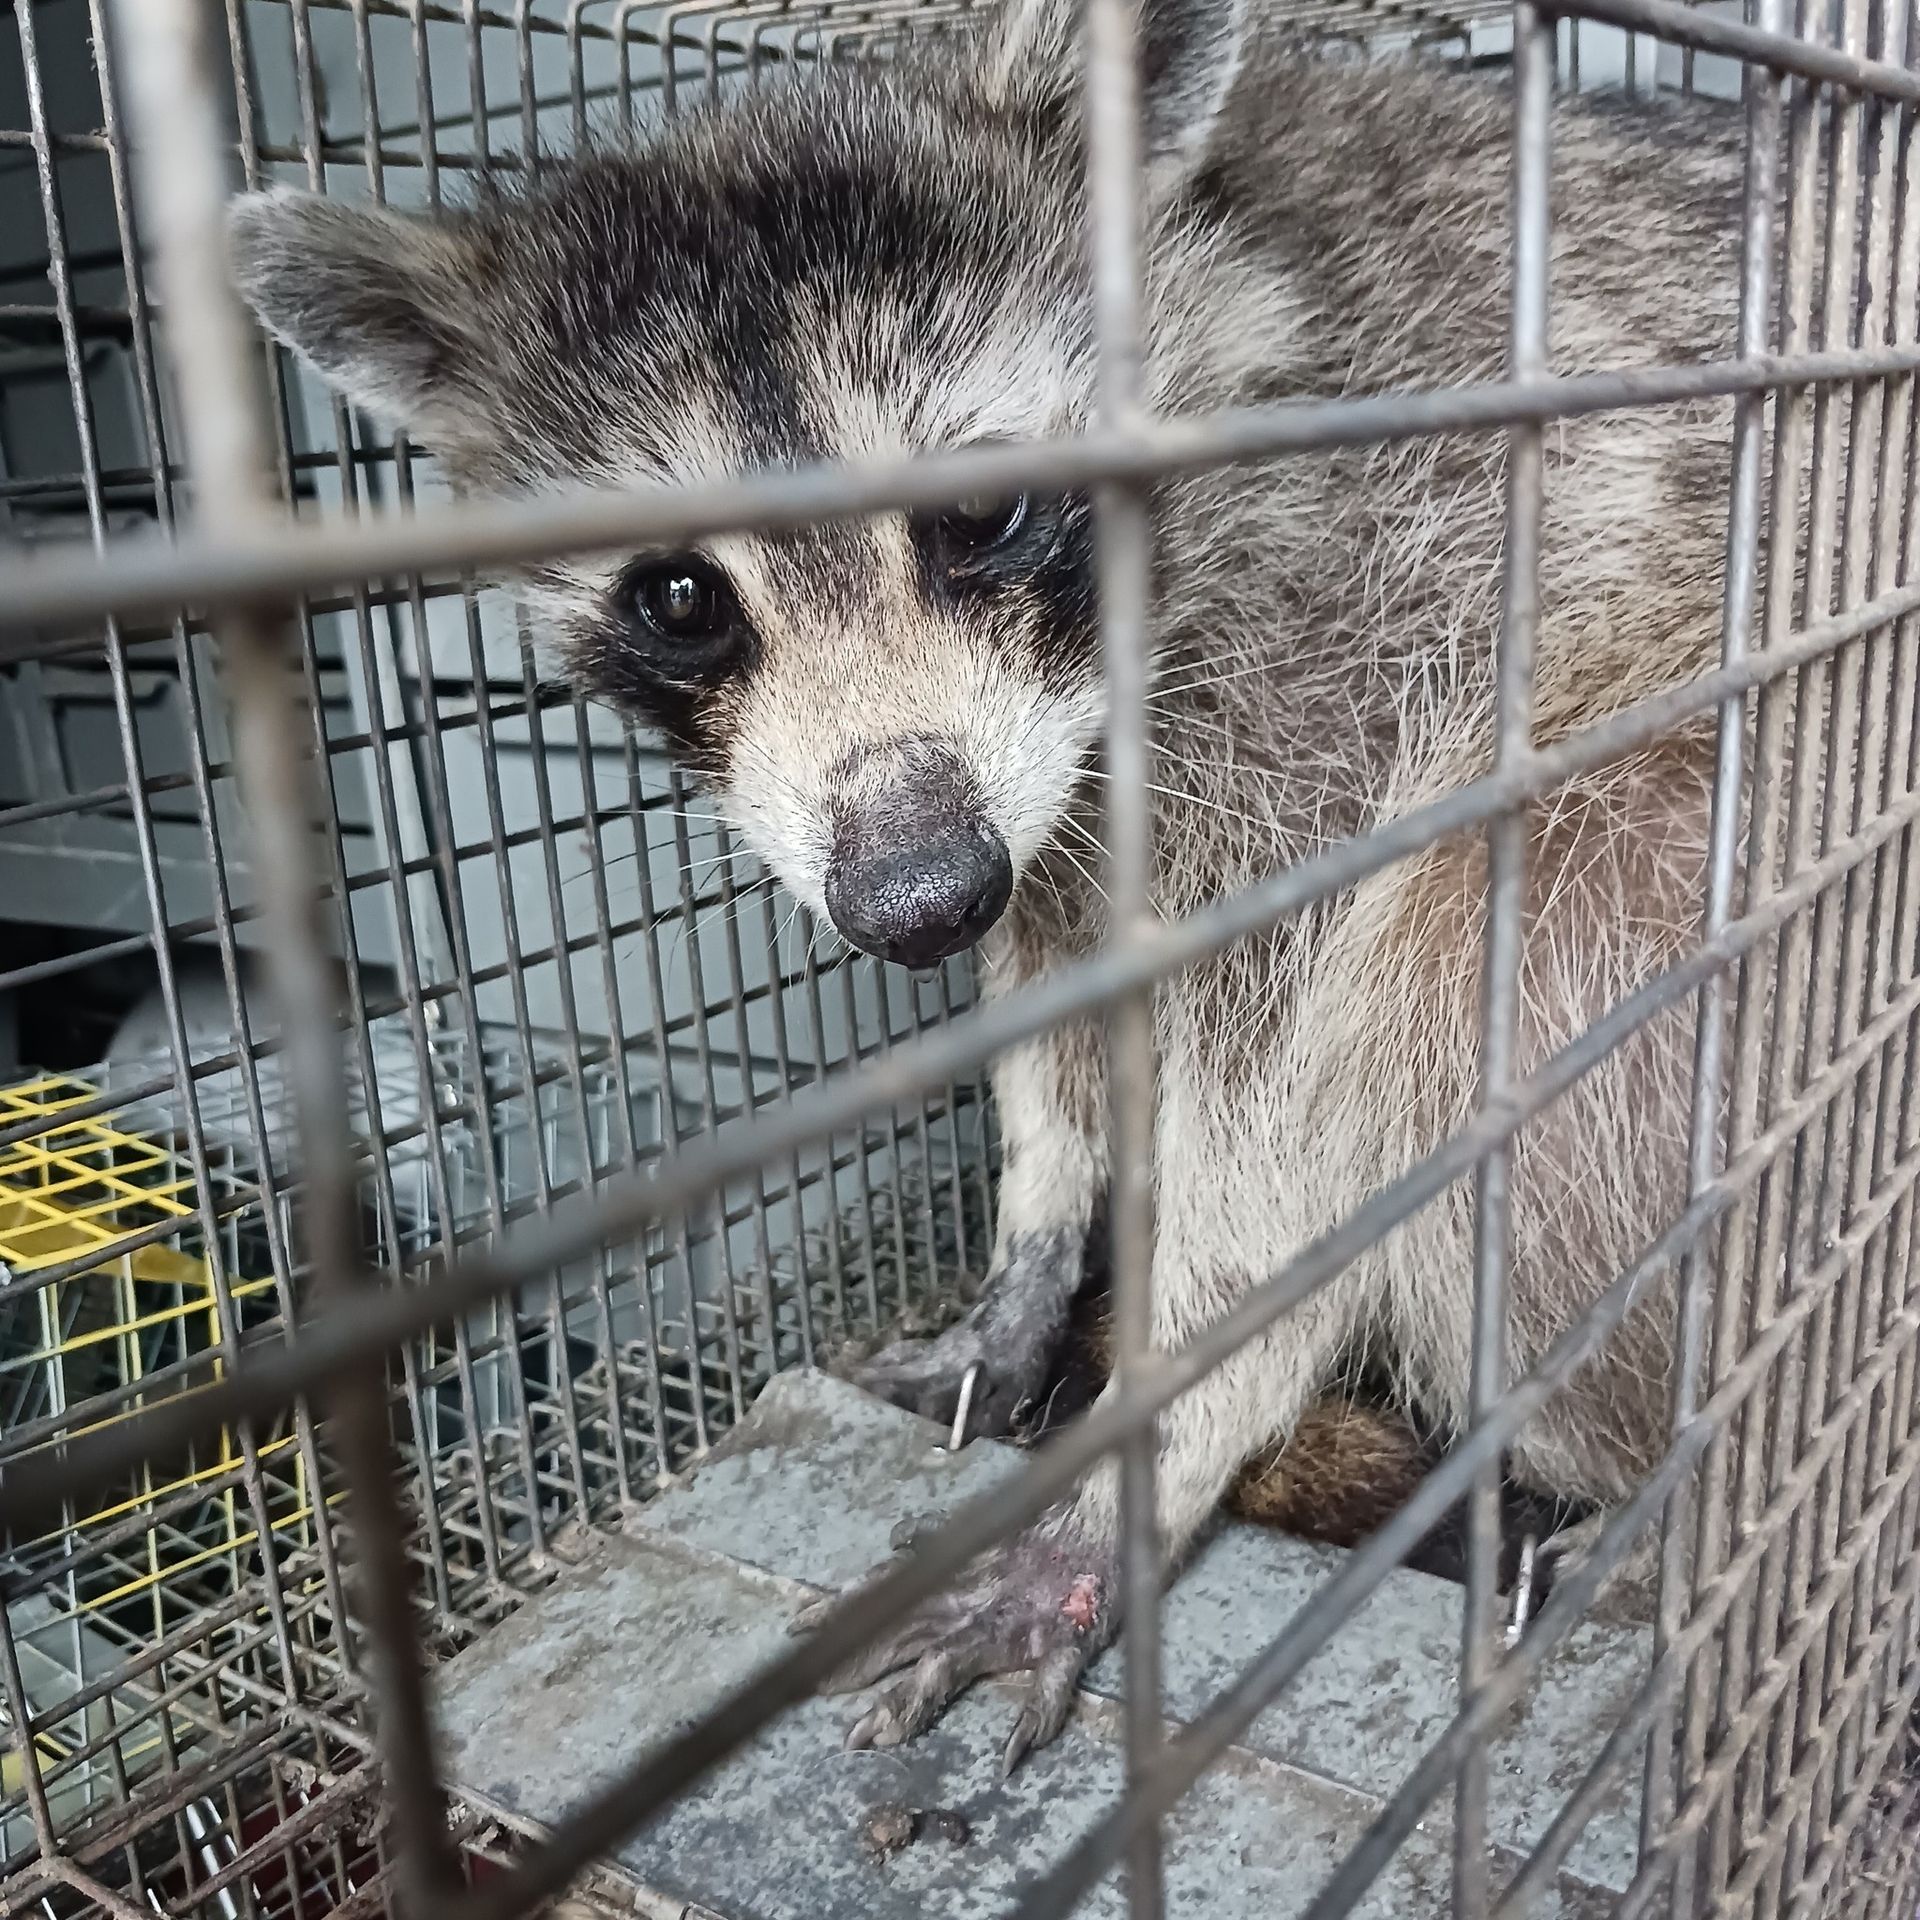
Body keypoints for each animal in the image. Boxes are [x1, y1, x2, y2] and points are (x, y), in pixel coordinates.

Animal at [229, 0, 1768, 1769]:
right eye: (680, 596)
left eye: (975, 511)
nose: (915, 904)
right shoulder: (1042, 793)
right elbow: (1048, 984)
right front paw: (1034, 1242)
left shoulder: (1363, 633)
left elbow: (1296, 1122)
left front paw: (1148, 1458)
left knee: (1456, 976)